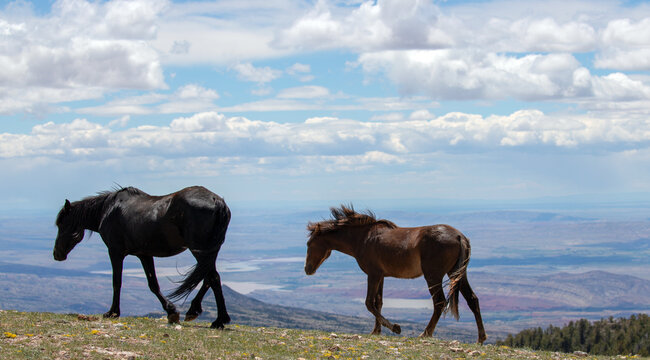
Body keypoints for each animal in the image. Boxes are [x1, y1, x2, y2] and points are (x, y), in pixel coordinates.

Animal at [53, 186, 230, 330]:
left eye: (62, 224)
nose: (56, 254)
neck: (108, 210)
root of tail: (217, 201)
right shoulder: (144, 254)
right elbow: (153, 285)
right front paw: (171, 311)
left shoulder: (115, 252)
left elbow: (116, 282)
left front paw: (112, 312)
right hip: (208, 252)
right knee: (210, 278)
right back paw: (201, 313)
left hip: (200, 251)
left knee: (212, 278)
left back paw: (217, 320)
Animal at [306, 205, 484, 344]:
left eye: (309, 244)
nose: (307, 269)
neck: (363, 238)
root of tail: (459, 236)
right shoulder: (381, 276)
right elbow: (378, 302)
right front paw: (376, 331)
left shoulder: (373, 274)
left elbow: (369, 303)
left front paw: (395, 328)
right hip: (457, 273)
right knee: (472, 299)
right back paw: (481, 338)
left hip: (433, 276)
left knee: (439, 302)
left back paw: (425, 334)